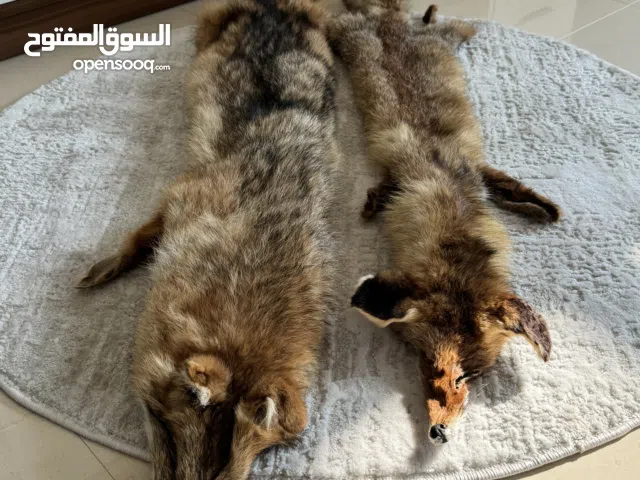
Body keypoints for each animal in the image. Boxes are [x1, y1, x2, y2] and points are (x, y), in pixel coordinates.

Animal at [77, 0, 338, 477]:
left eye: (224, 472)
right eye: (170, 442)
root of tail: (271, 5)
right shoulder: (186, 194)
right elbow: (140, 235)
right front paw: (113, 262)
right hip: (211, 25)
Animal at [329, 1, 561, 445]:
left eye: (468, 376)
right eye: (435, 368)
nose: (440, 433)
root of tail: (392, 23)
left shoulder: (474, 169)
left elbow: (509, 186)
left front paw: (544, 207)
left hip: (438, 37)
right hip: (349, 37)